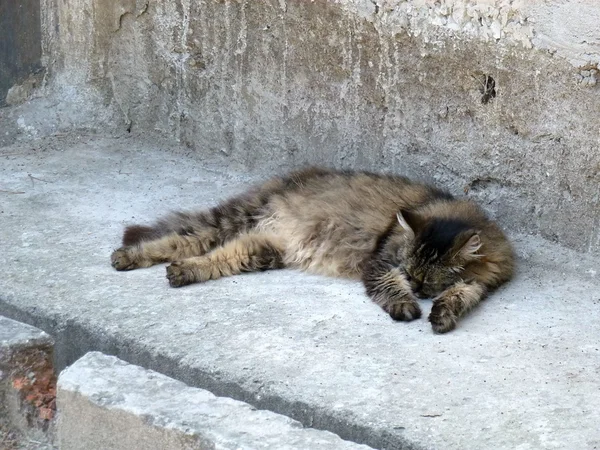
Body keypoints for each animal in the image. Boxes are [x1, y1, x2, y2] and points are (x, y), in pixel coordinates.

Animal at [112, 167, 516, 332]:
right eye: (410, 272)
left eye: (429, 280)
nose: (417, 289)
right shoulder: (380, 262)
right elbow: (388, 286)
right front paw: (405, 306)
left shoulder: (478, 284)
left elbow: (458, 298)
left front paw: (442, 315)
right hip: (231, 220)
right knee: (178, 238)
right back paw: (127, 257)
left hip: (260, 249)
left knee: (213, 257)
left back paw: (182, 272)